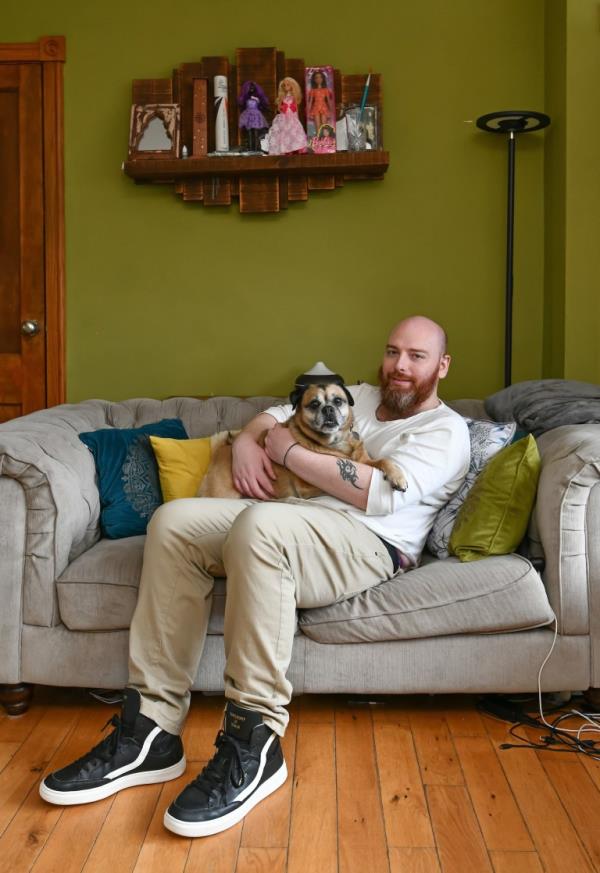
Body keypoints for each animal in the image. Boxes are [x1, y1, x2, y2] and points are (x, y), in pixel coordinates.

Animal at [197, 384, 408, 500]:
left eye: (338, 401)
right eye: (314, 404)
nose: (328, 409)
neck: (335, 443)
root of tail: (224, 448)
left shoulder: (365, 462)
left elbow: (384, 460)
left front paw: (397, 476)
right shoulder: (307, 488)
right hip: (224, 493)